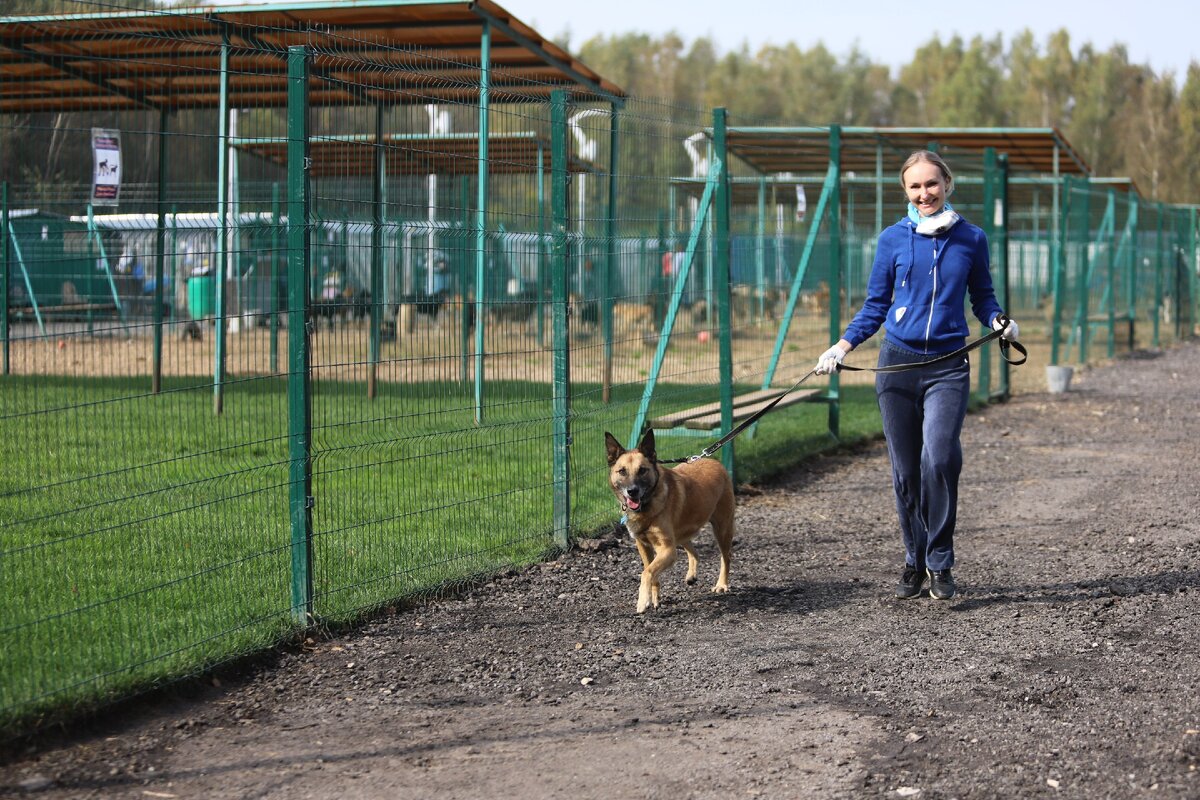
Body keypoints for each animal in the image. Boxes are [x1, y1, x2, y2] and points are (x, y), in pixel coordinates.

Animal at [604, 431, 734, 614]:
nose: (632, 491)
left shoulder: (667, 549)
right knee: (694, 551)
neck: (647, 506)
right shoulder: (643, 545)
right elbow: (650, 571)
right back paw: (691, 575)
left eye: (642, 470)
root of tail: (715, 461)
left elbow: (647, 572)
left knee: (726, 557)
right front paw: (654, 599)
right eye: (622, 471)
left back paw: (722, 584)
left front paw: (642, 601)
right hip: (681, 534)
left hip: (722, 528)